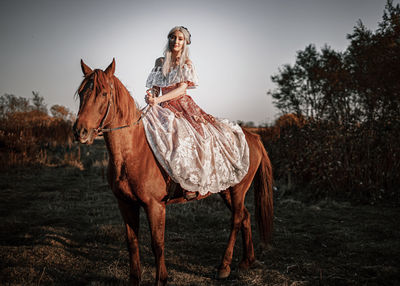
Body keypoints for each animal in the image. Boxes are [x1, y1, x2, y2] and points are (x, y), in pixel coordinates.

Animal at [73, 58, 274, 286]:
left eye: (104, 93)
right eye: (81, 92)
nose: (80, 132)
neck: (133, 150)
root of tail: (253, 136)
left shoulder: (155, 206)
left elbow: (157, 244)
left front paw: (162, 279)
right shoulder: (125, 203)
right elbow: (132, 241)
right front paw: (135, 279)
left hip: (238, 190)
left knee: (237, 220)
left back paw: (224, 267)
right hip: (226, 190)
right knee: (246, 217)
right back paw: (247, 261)